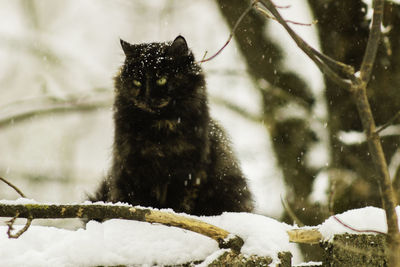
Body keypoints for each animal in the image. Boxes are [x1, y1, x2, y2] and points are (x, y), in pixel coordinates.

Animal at [90, 35, 253, 217]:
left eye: (162, 79)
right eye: (137, 82)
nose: (147, 97)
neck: (159, 129)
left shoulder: (186, 172)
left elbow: (179, 203)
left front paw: (172, 215)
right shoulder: (134, 167)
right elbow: (140, 201)